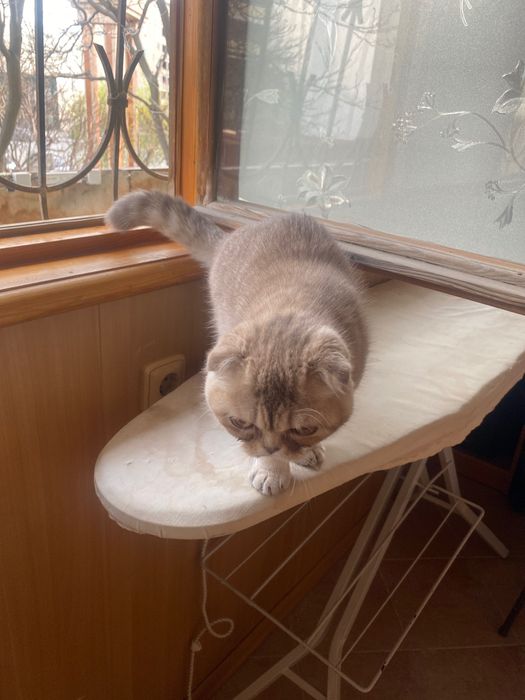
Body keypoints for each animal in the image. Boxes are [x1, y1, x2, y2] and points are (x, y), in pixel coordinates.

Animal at [106, 192, 368, 496]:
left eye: (305, 430)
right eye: (240, 423)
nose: (270, 448)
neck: (292, 302)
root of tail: (229, 239)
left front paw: (303, 453)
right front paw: (272, 469)